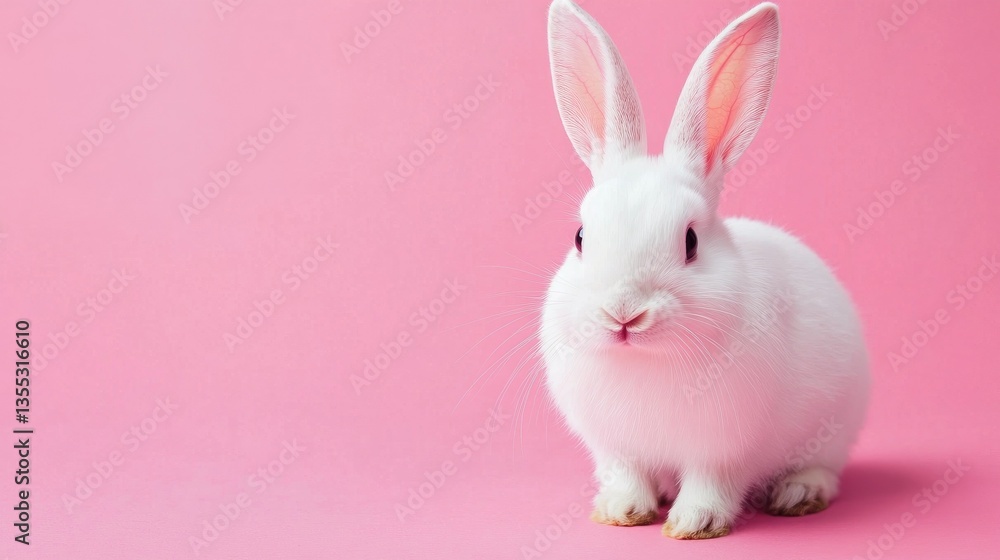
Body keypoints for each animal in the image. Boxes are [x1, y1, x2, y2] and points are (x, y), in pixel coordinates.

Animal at [539, 0, 870, 539]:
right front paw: (621, 511)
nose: (624, 314)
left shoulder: (724, 449)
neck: (645, 361)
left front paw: (695, 523)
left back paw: (797, 494)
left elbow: (711, 482)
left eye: (691, 242)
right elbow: (627, 475)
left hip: (834, 429)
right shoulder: (615, 447)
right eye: (581, 238)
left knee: (824, 469)